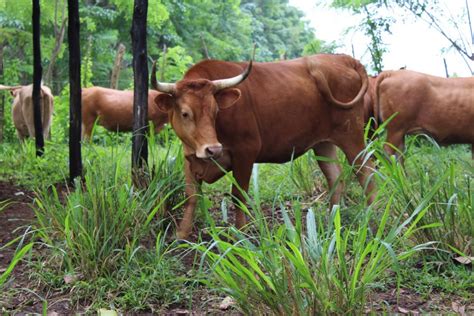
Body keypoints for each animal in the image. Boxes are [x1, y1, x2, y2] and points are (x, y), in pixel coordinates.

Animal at [152, 53, 378, 239]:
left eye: (215, 111)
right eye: (185, 113)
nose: (213, 149)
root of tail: (342, 58)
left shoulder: (246, 151)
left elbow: (238, 195)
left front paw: (240, 234)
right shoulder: (189, 156)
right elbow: (191, 195)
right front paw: (181, 235)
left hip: (352, 136)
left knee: (366, 173)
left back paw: (372, 220)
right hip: (323, 144)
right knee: (335, 177)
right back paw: (332, 222)